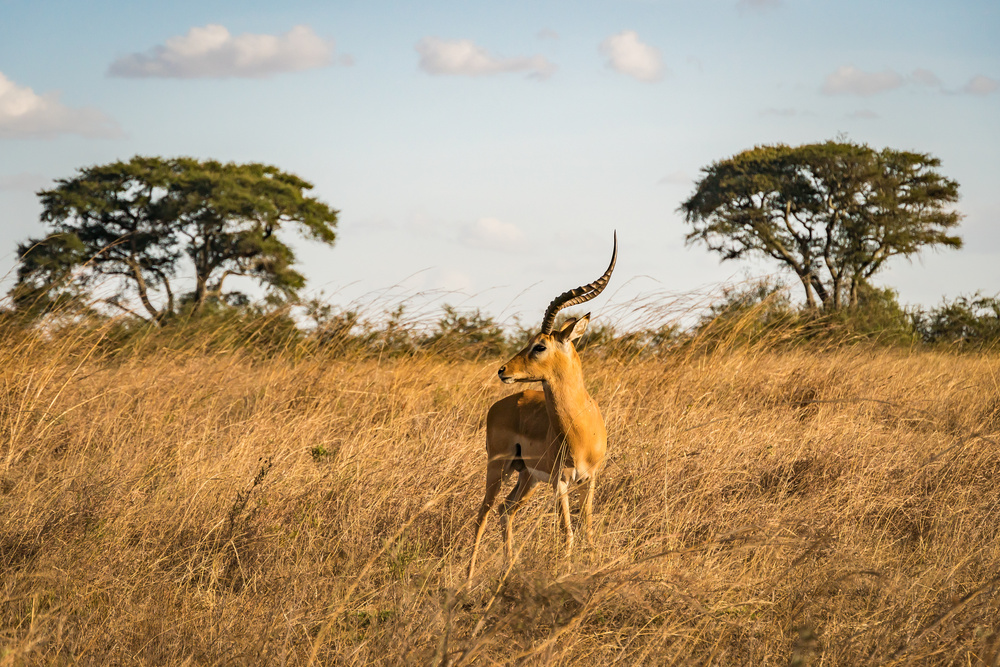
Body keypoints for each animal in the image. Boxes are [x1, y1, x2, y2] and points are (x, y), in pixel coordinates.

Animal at [468, 233, 617, 578]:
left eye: (539, 346)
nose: (503, 370)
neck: (580, 430)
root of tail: (501, 404)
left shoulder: (590, 479)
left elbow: (588, 529)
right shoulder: (560, 482)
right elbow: (568, 533)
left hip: (527, 477)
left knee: (506, 509)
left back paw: (508, 570)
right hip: (498, 468)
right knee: (483, 513)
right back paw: (467, 580)